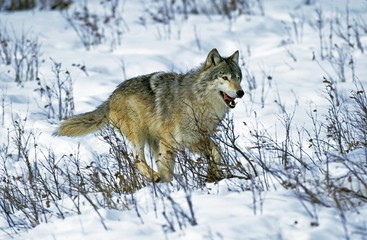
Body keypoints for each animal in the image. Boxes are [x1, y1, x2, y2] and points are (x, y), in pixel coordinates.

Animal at [54, 48, 244, 182]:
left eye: (238, 77)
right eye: (225, 78)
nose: (241, 93)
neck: (198, 102)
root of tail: (110, 97)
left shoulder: (195, 139)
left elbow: (216, 151)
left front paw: (214, 174)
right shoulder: (171, 142)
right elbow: (167, 169)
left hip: (154, 141)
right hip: (139, 135)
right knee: (138, 160)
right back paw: (155, 178)